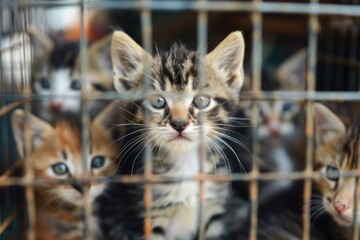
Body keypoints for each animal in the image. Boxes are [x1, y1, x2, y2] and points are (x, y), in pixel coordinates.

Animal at [109, 31, 245, 239]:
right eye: (158, 101)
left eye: (201, 100)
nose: (180, 123)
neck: (186, 162)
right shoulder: (148, 218)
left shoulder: (212, 212)